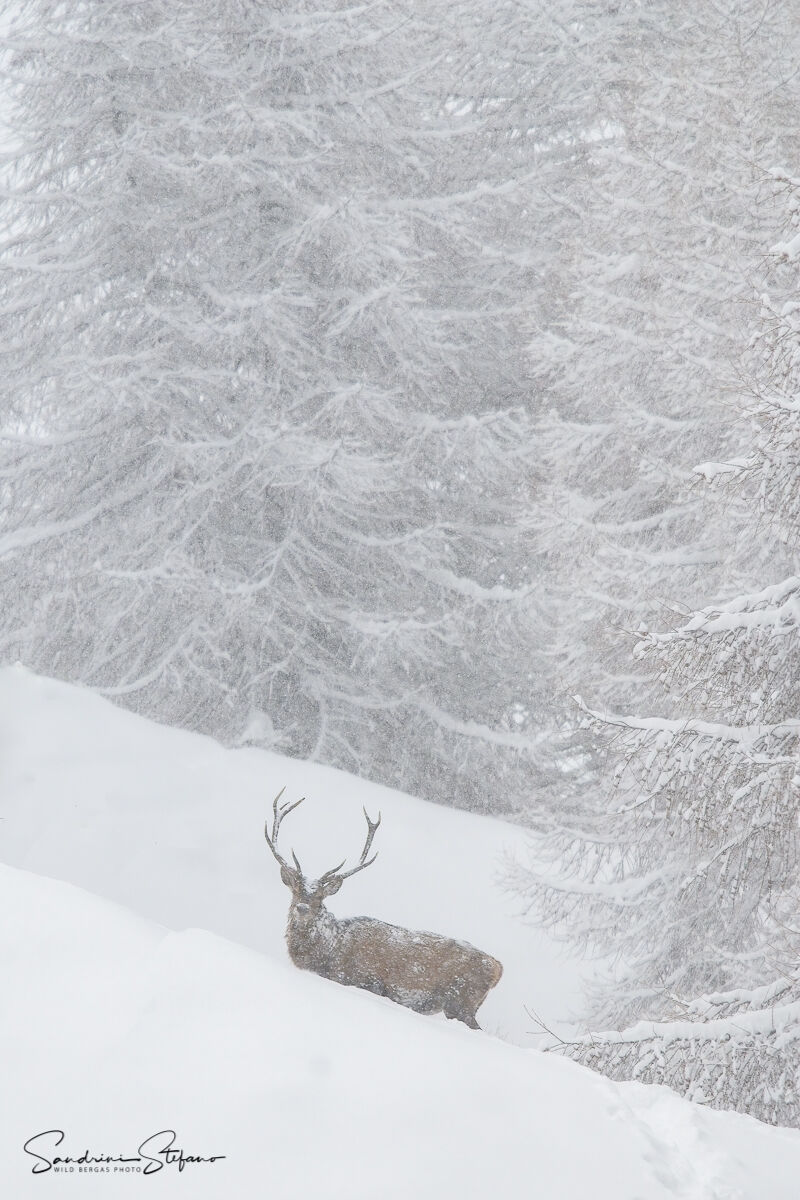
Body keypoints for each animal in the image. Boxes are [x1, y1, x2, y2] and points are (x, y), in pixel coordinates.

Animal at [264, 788, 503, 1029]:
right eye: (295, 891)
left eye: (320, 898)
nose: (302, 908)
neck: (329, 951)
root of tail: (497, 967)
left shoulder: (362, 980)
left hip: (461, 1002)